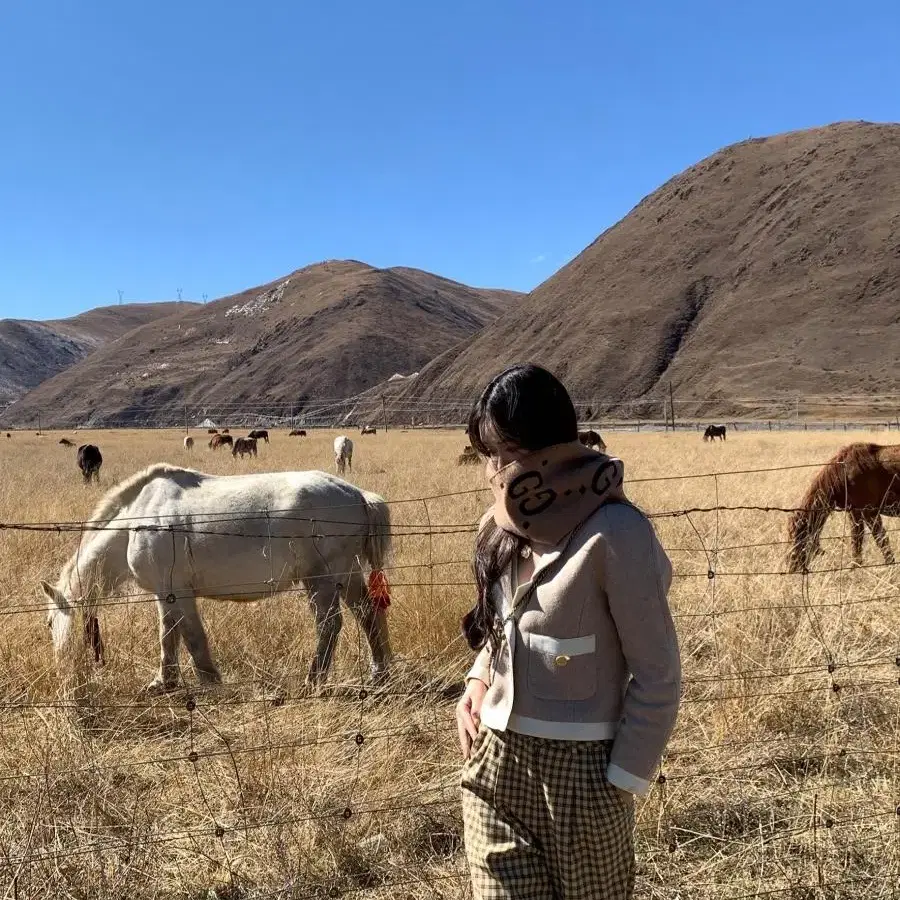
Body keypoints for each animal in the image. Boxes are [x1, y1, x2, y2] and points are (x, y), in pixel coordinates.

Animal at [42, 460, 392, 692]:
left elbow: (191, 636)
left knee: (329, 625)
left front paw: (209, 680)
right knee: (369, 614)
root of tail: (357, 495)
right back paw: (380, 673)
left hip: (322, 580)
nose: (60, 669)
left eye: (49, 623)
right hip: (347, 576)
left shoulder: (179, 594)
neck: (136, 523)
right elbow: (169, 635)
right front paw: (164, 681)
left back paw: (314, 679)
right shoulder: (165, 594)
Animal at [788, 442, 900, 576]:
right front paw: (855, 568)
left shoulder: (869, 512)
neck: (844, 472)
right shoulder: (854, 513)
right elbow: (857, 541)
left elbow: (880, 540)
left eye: (798, 537)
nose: (791, 568)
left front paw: (890, 567)